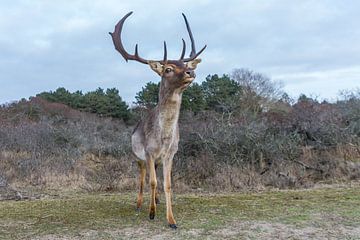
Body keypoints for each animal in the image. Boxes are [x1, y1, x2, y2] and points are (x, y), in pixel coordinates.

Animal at [109, 11, 205, 229]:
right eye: (168, 68)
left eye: (185, 64)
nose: (191, 72)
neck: (164, 138)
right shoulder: (149, 152)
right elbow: (152, 182)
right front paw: (151, 213)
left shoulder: (170, 154)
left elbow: (168, 184)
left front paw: (172, 220)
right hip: (138, 157)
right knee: (143, 178)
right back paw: (140, 204)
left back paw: (157, 200)